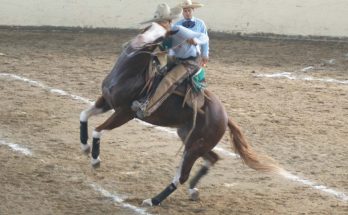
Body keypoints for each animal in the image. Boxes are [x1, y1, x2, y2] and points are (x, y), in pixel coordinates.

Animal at [78, 22, 280, 207]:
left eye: (161, 37)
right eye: (148, 27)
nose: (136, 45)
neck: (130, 73)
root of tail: (224, 116)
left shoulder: (125, 113)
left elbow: (98, 130)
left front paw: (95, 160)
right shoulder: (106, 101)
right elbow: (83, 115)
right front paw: (85, 147)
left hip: (194, 147)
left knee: (182, 176)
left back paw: (153, 200)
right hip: (192, 141)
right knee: (212, 158)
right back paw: (193, 190)